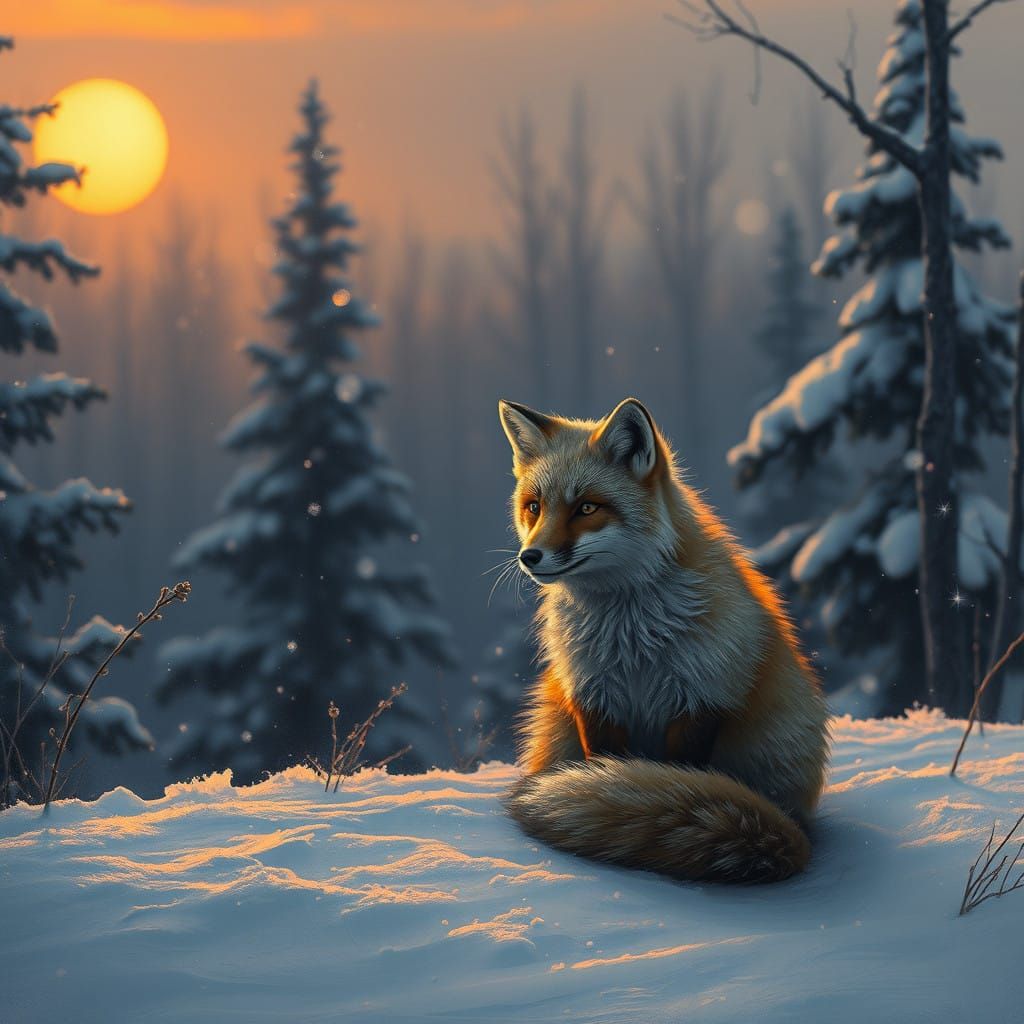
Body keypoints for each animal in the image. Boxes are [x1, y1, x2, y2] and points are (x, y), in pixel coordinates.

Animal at [498, 396, 829, 883]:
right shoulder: (595, 698)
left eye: (587, 508)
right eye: (534, 507)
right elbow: (603, 767)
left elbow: (679, 773)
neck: (633, 643)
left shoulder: (701, 698)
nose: (530, 556)